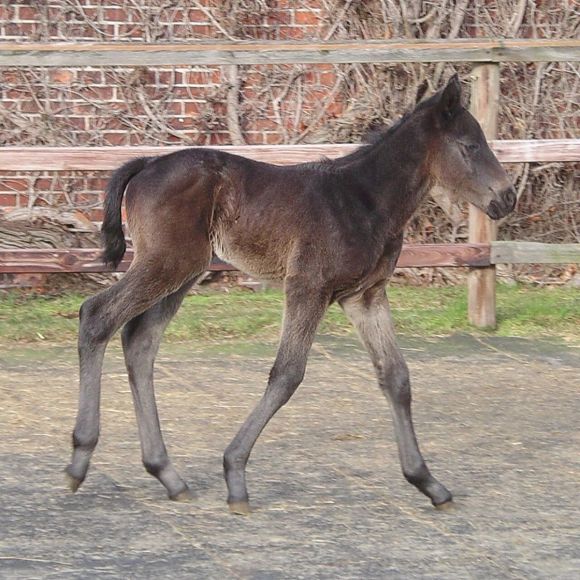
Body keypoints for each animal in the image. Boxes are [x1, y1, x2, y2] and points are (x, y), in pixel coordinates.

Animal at [67, 76, 516, 512]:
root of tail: (147, 163)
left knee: (140, 340)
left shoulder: (365, 296)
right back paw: (79, 459)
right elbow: (287, 374)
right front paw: (235, 475)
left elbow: (396, 376)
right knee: (97, 315)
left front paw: (428, 482)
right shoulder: (308, 287)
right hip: (167, 263)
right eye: (470, 146)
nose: (507, 197)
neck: (363, 199)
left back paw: (167, 474)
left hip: (183, 273)